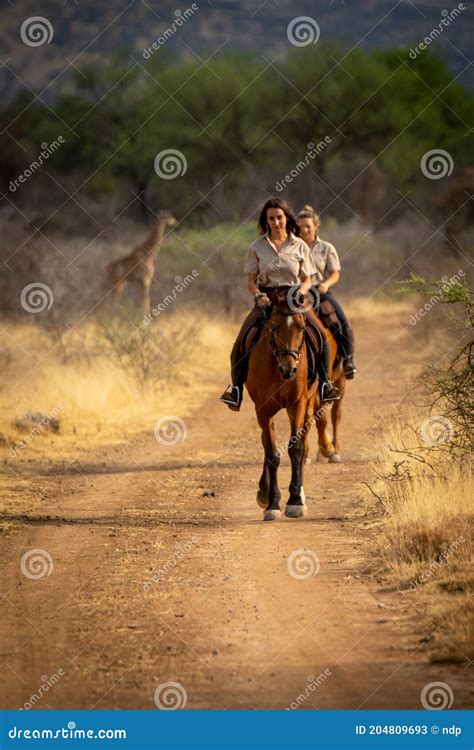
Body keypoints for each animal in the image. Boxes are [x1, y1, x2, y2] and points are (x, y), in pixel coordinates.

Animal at [248, 288, 340, 524]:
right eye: (273, 326)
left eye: (301, 327)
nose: (288, 369)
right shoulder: (263, 409)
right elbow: (271, 453)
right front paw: (272, 504)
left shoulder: (298, 404)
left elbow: (296, 448)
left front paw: (295, 502)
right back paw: (264, 492)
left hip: (308, 403)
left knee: (306, 441)